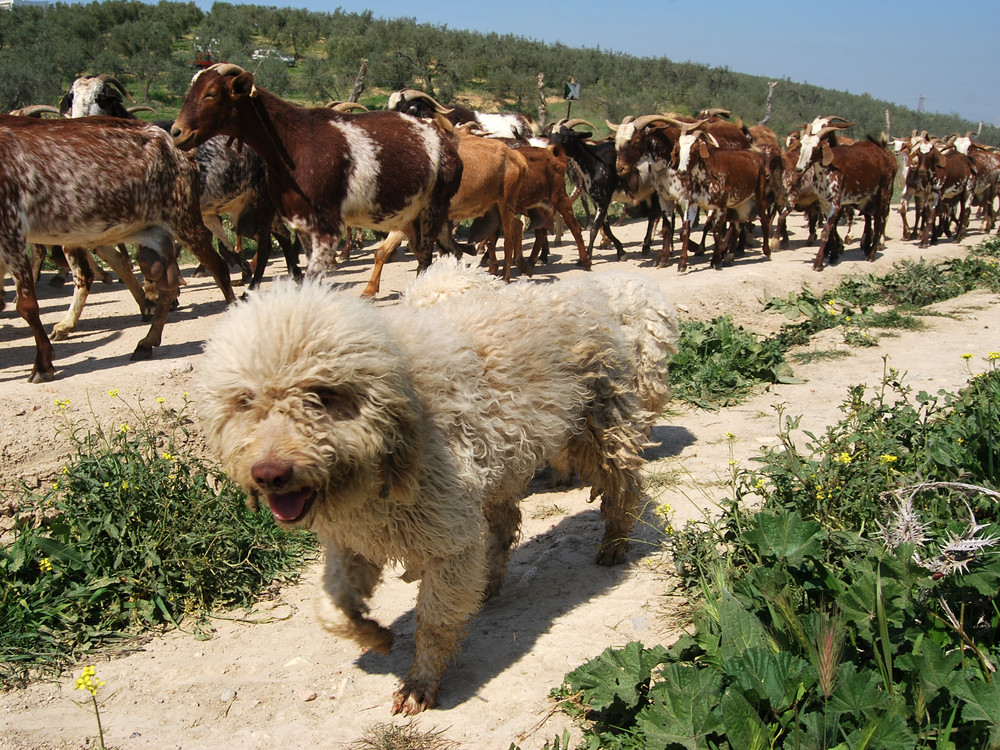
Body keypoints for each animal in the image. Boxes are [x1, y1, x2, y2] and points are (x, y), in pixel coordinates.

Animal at [200, 274, 656, 716]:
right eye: (245, 400)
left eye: (324, 396)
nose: (269, 474)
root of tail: (581, 291)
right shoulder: (354, 540)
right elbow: (330, 610)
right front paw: (375, 637)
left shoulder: (447, 541)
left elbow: (434, 620)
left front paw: (420, 682)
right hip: (500, 472)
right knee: (504, 526)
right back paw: (489, 582)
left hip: (605, 428)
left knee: (625, 486)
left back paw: (615, 542)